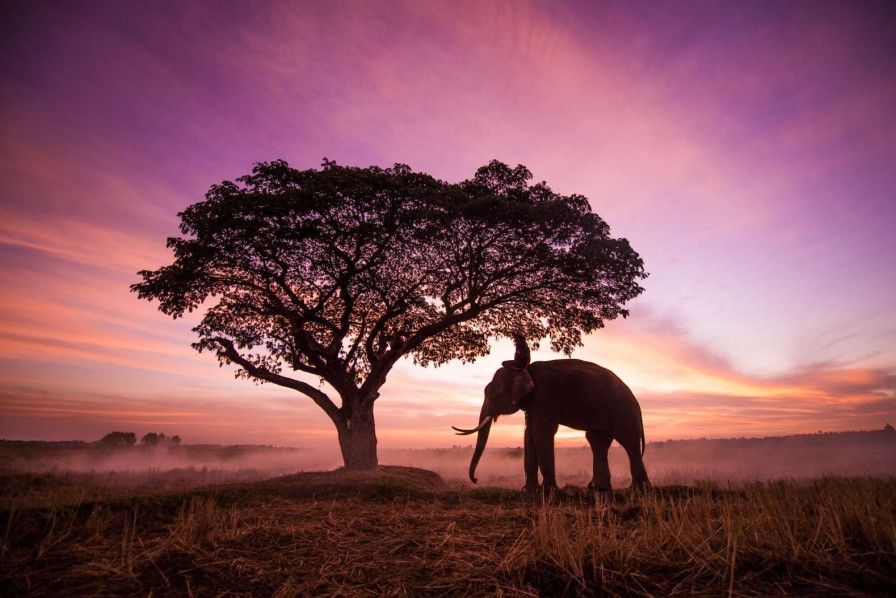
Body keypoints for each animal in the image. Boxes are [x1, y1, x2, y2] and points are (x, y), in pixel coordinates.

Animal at [452, 360, 648, 492]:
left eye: (496, 395)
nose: (476, 480)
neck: (525, 369)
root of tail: (636, 402)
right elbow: (529, 433)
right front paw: (530, 490)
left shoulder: (546, 395)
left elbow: (541, 431)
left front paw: (549, 491)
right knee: (597, 442)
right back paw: (600, 489)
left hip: (622, 412)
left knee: (629, 444)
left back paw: (638, 490)